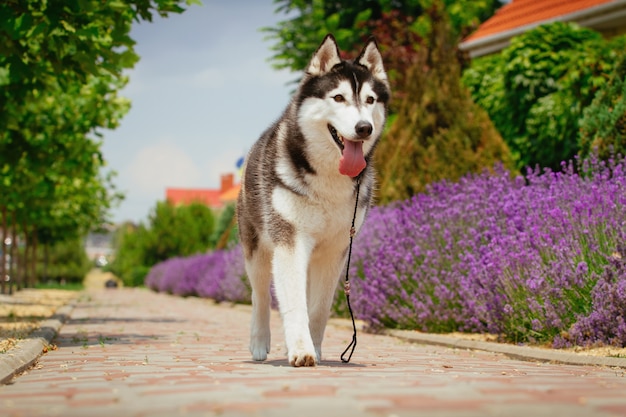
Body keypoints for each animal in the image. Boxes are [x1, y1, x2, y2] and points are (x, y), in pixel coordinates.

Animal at [236, 35, 388, 368]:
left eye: (370, 100)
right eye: (338, 98)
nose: (364, 128)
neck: (329, 178)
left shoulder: (336, 250)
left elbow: (318, 308)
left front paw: (313, 348)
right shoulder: (290, 241)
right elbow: (293, 304)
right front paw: (301, 350)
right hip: (257, 248)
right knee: (260, 295)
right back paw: (259, 343)